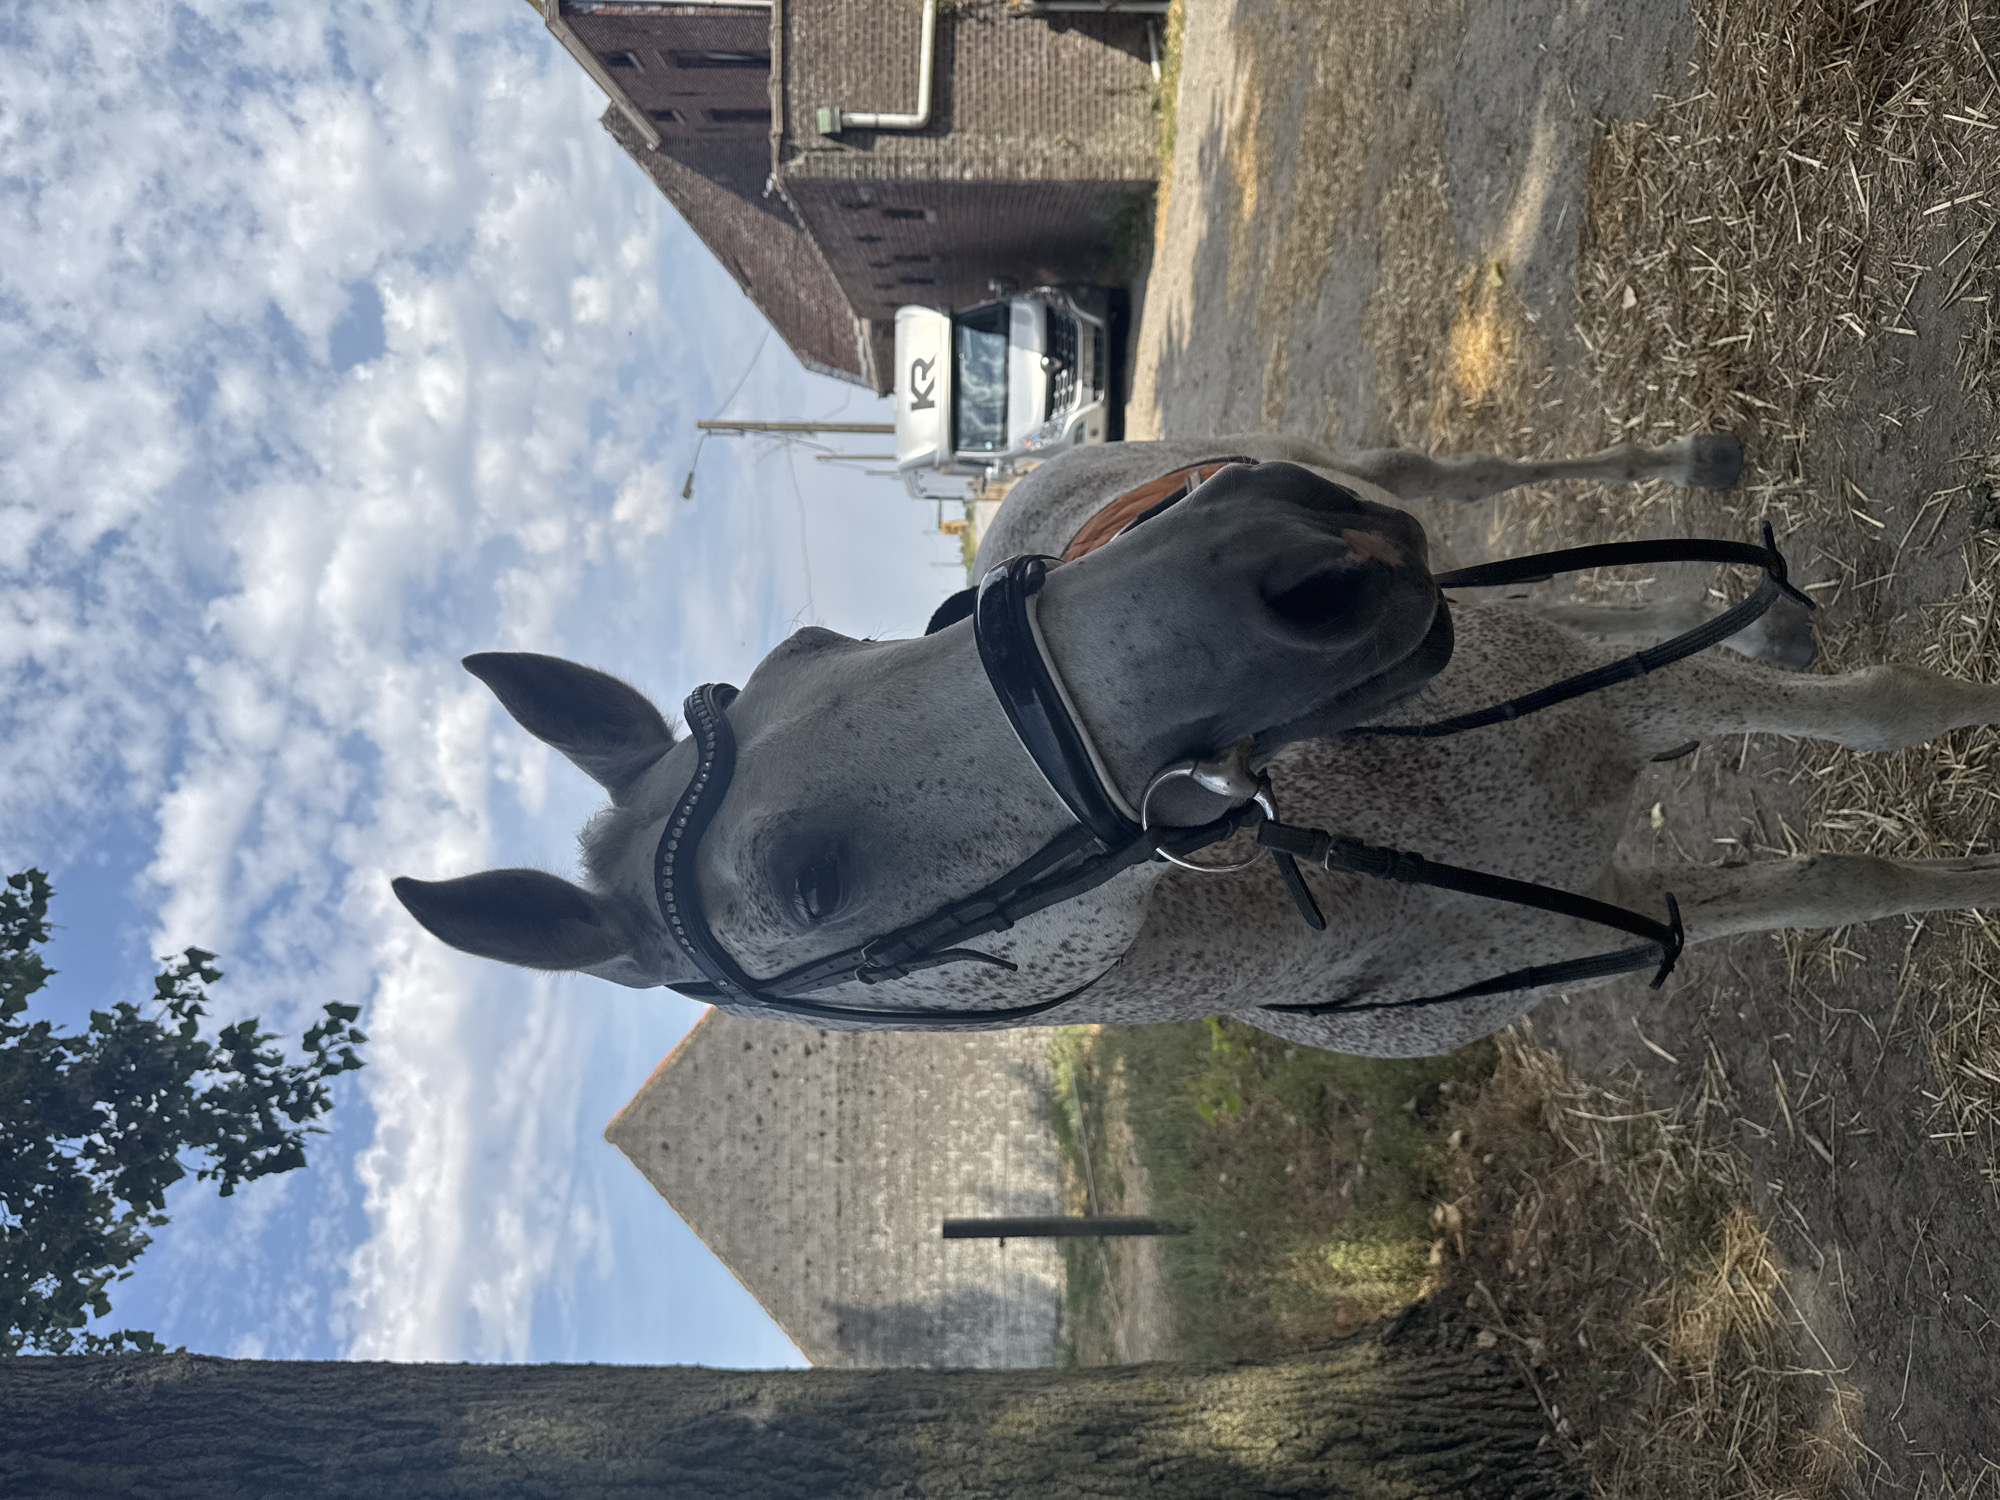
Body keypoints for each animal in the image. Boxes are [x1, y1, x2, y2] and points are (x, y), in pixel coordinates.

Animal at [393, 433, 2000, 1057]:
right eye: (808, 884)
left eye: (819, 646)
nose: (1284, 566)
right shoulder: (1643, 891)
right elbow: (1841, 880)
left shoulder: (1623, 701)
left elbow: (1897, 718)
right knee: (1606, 598)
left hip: (1398, 494)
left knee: (1487, 502)